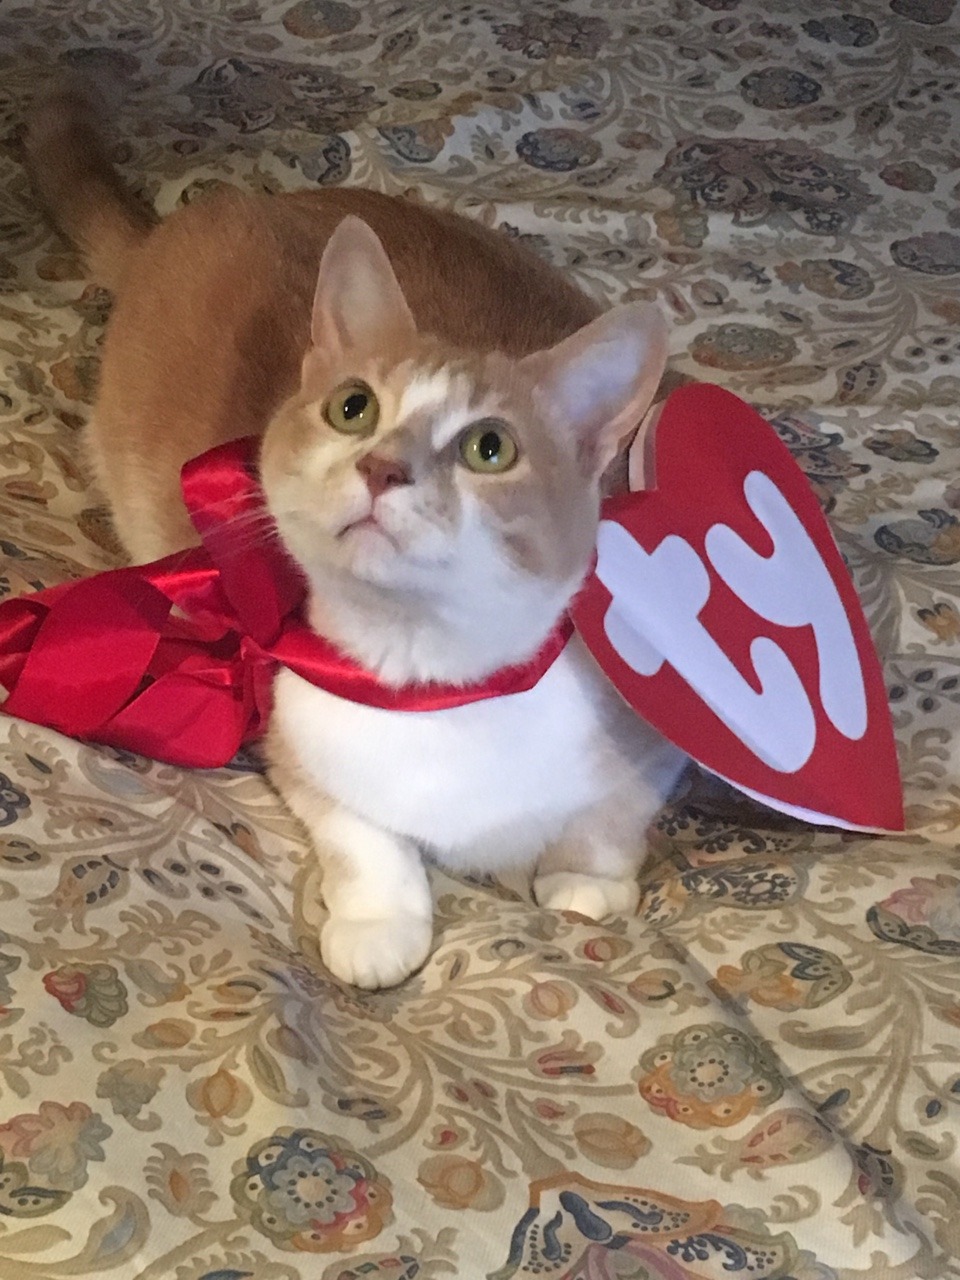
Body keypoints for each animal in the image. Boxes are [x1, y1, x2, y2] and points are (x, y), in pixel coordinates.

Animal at [25, 85, 687, 989]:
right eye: (354, 408)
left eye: (490, 448)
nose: (382, 468)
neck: (433, 686)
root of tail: (209, 213)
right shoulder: (298, 746)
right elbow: (366, 841)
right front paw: (379, 926)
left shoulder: (662, 731)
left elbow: (609, 819)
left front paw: (582, 879)